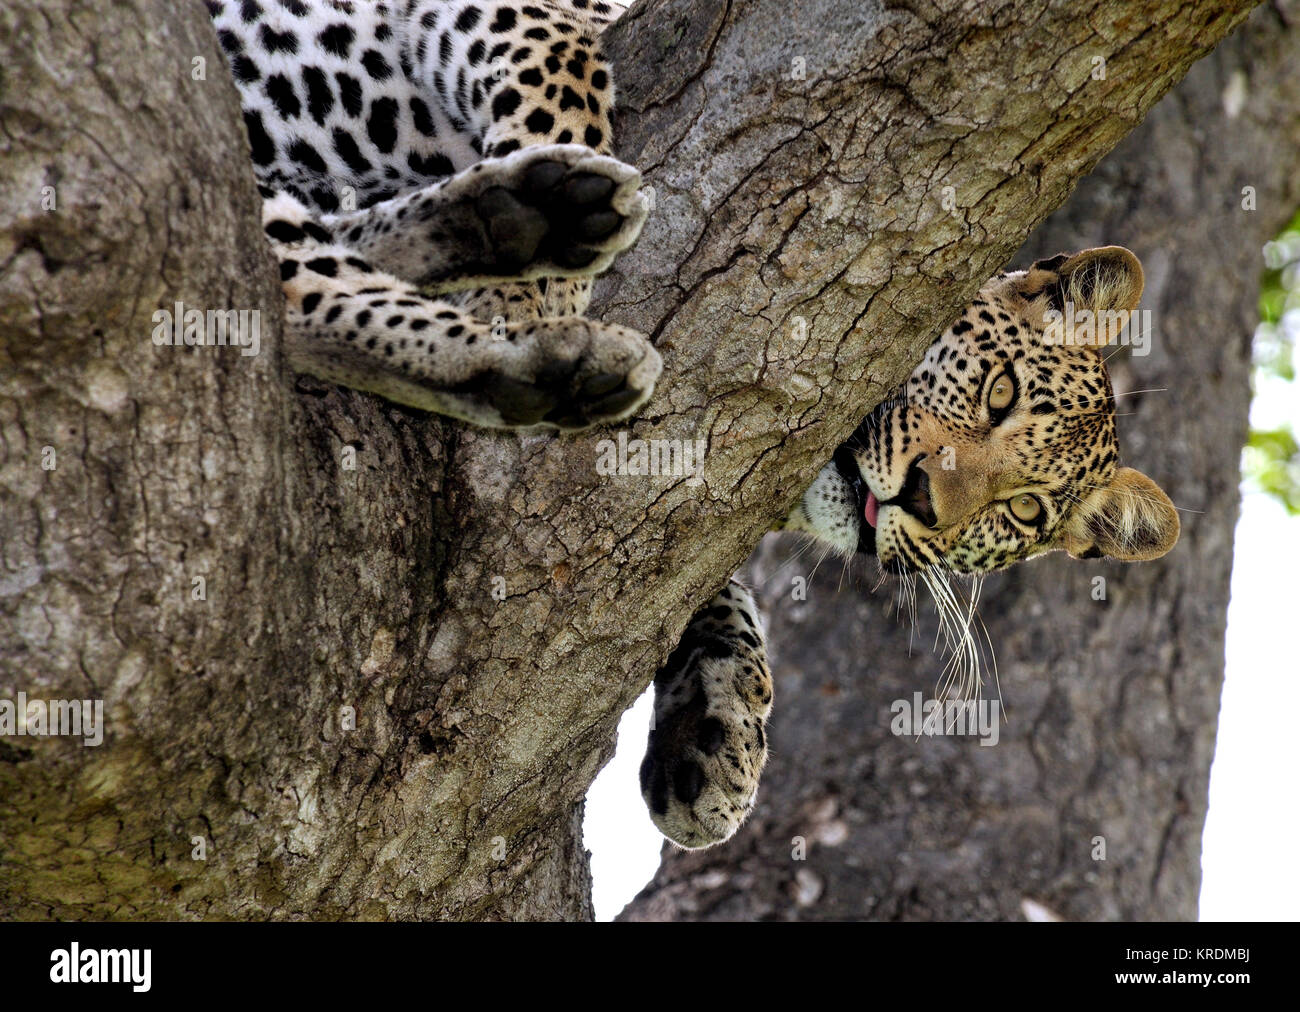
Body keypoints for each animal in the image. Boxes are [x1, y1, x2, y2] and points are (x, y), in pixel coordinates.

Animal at [205, 0, 1180, 853]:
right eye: (999, 391)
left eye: (1023, 512)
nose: (924, 501)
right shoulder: (485, 13)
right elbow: (563, 81)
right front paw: (535, 294)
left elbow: (715, 585)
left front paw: (717, 735)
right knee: (295, 277)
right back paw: (536, 294)